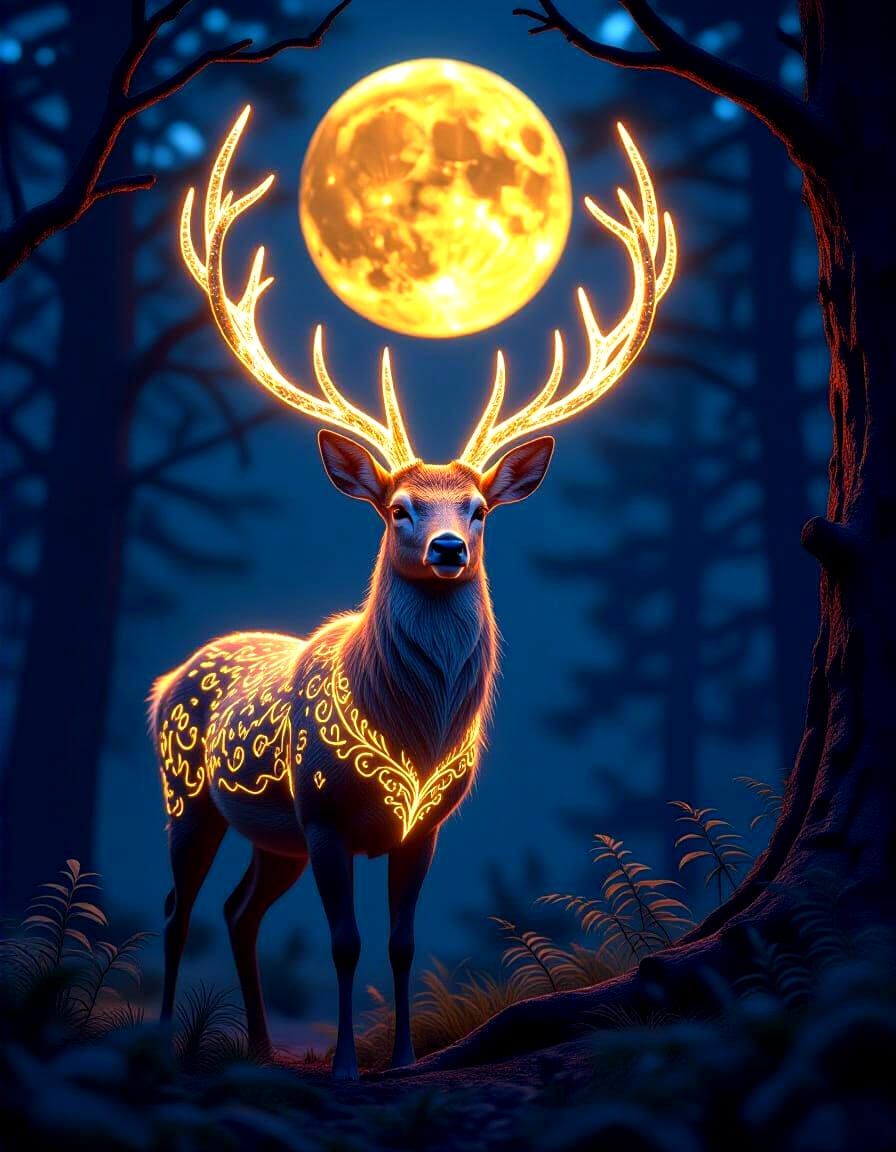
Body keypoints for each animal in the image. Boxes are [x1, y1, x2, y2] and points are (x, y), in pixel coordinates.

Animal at [149, 106, 676, 1079]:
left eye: (479, 508)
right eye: (397, 507)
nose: (445, 548)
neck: (412, 734)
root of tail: (167, 679)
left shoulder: (423, 825)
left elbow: (399, 943)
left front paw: (399, 1060)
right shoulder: (324, 812)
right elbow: (345, 942)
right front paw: (348, 1068)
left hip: (269, 835)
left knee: (240, 912)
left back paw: (261, 1049)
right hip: (188, 796)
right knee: (178, 908)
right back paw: (168, 1040)